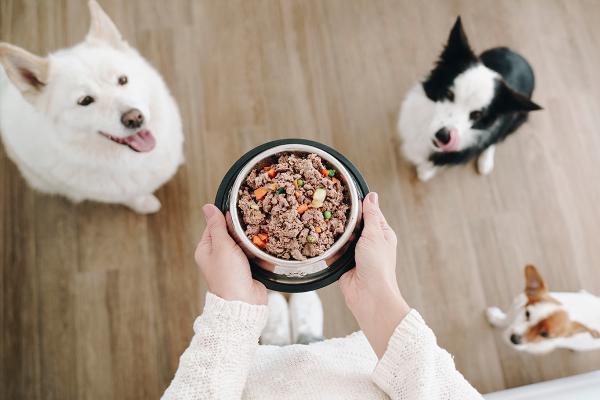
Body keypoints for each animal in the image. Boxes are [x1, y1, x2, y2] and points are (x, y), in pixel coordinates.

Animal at [398, 17, 544, 181]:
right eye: (449, 94)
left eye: (476, 114)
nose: (444, 137)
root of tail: (522, 58)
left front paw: (425, 171)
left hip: (518, 119)